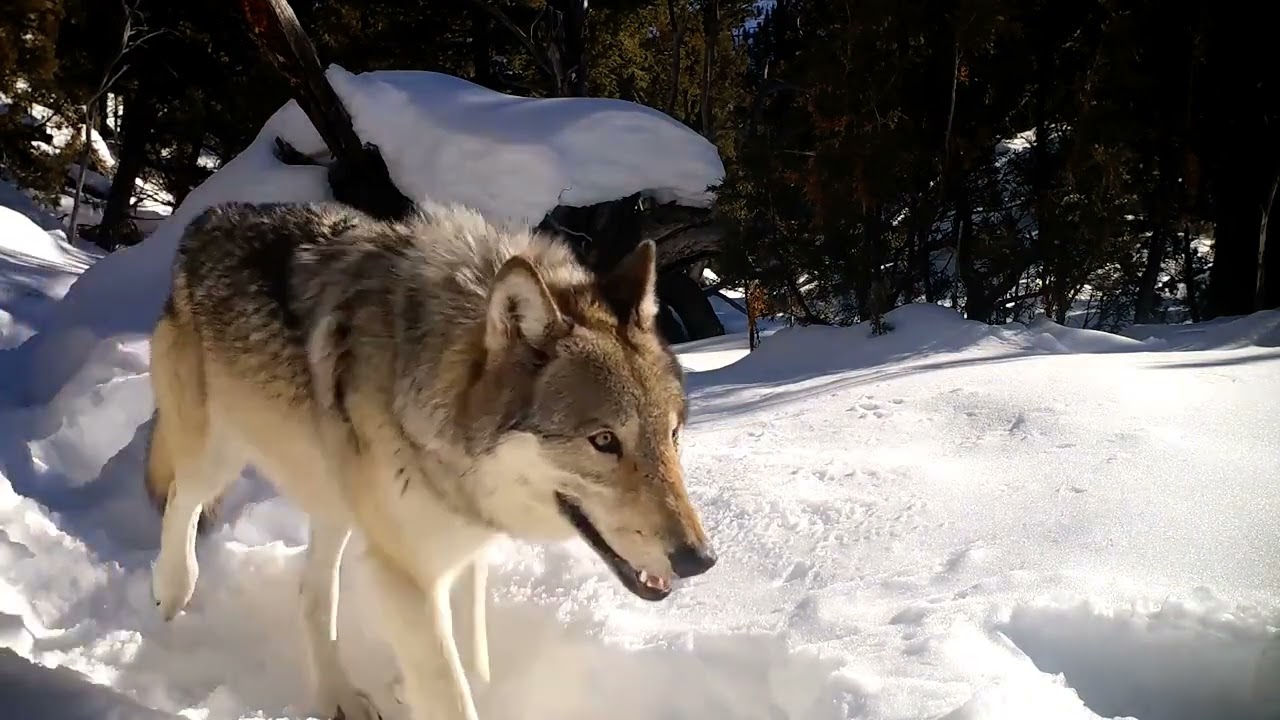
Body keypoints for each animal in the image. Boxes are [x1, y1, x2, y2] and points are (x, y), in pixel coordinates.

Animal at [143, 200, 718, 720]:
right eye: (603, 441)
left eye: (672, 435)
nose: (701, 560)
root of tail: (207, 217)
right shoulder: (408, 576)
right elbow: (450, 691)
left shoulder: (464, 550)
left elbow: (474, 657)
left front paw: (414, 687)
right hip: (217, 455)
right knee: (180, 502)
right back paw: (171, 594)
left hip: (336, 503)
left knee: (312, 592)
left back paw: (339, 697)